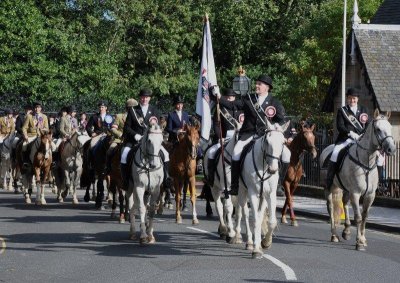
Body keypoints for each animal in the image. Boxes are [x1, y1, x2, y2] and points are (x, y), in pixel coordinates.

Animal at [236, 120, 290, 260]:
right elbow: (254, 219)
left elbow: (271, 221)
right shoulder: (253, 193)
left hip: (263, 197)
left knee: (259, 216)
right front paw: (256, 249)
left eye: (283, 142)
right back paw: (248, 242)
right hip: (242, 191)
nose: (273, 169)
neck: (264, 166)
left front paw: (265, 242)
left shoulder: (270, 194)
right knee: (244, 212)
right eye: (267, 142)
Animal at [320, 110, 396, 252]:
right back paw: (334, 235)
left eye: (390, 128)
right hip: (329, 187)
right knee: (331, 207)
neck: (366, 162)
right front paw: (359, 242)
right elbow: (359, 217)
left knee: (344, 203)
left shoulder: (370, 195)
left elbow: (365, 217)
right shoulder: (355, 193)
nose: (391, 149)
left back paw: (346, 231)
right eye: (378, 129)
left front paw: (363, 239)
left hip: (345, 189)